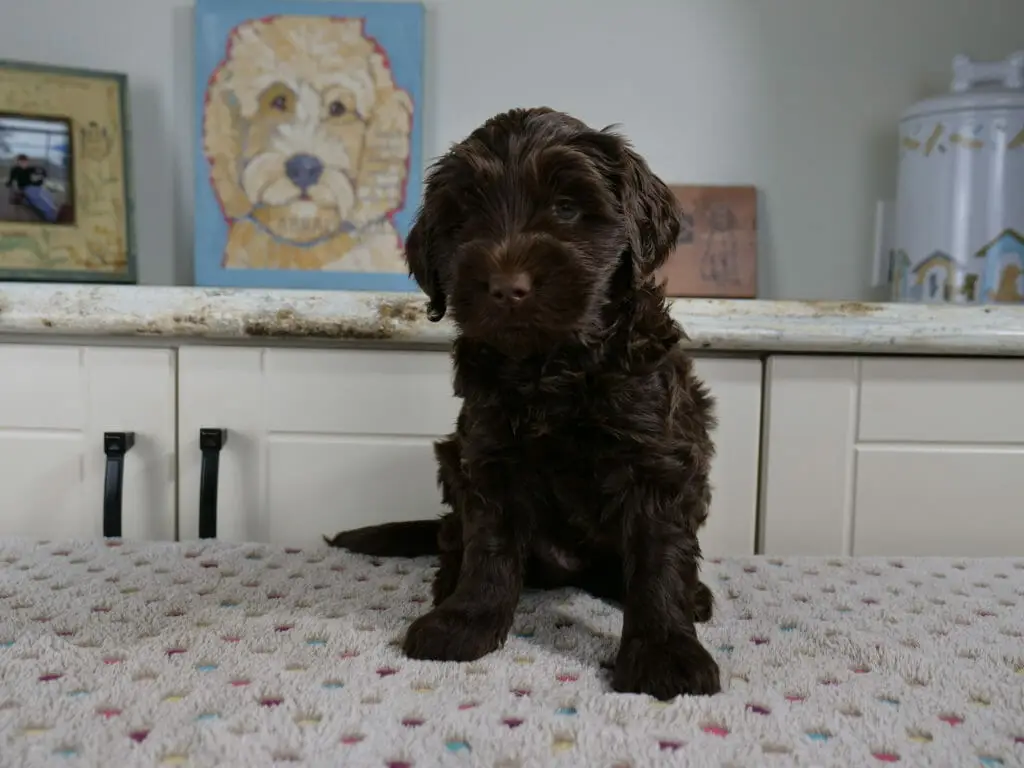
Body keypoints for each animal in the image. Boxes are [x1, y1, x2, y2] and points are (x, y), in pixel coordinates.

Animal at [327, 105, 720, 700]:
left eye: (567, 207)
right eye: (465, 219)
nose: (507, 287)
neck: (552, 365)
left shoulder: (657, 457)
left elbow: (659, 556)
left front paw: (665, 652)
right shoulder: (489, 451)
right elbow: (489, 545)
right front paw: (466, 620)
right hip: (452, 457)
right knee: (453, 536)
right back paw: (448, 583)